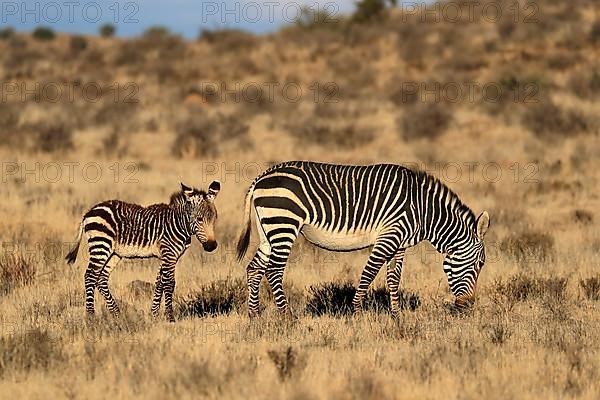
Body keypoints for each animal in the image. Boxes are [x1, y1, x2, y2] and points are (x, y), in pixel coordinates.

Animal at [67, 181, 220, 322]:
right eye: (199, 219)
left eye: (214, 218)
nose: (211, 246)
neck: (178, 224)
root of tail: (89, 212)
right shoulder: (169, 254)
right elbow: (169, 283)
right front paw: (170, 318)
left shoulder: (166, 256)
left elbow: (160, 282)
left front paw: (154, 315)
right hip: (101, 244)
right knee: (90, 276)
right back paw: (91, 317)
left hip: (113, 253)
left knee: (101, 277)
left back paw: (117, 315)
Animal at [237, 161, 490, 318]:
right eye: (480, 264)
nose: (468, 305)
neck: (423, 211)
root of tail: (261, 178)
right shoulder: (389, 237)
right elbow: (368, 275)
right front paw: (357, 313)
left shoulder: (399, 245)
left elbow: (393, 279)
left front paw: (396, 316)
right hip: (284, 223)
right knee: (274, 270)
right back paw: (287, 317)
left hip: (268, 230)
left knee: (254, 268)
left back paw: (254, 316)